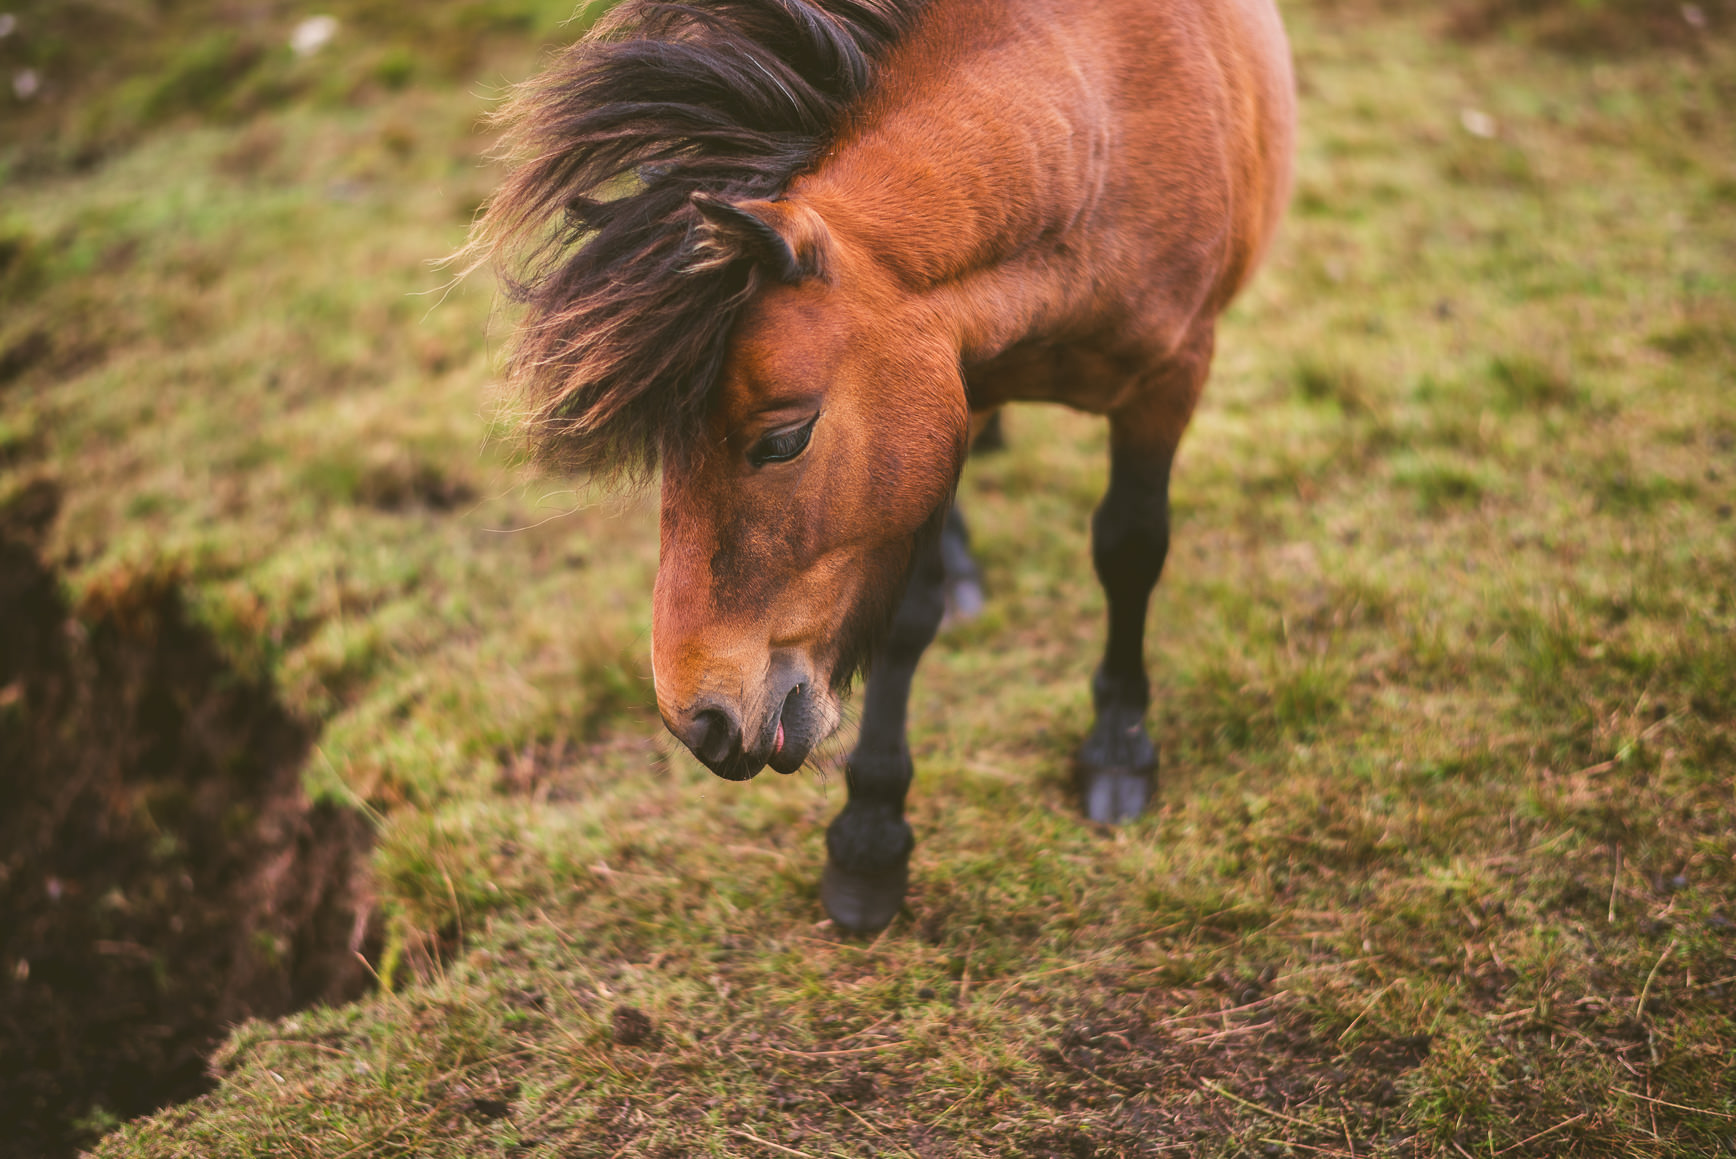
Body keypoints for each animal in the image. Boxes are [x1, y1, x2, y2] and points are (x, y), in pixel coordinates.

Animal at [468, 0, 1298, 929]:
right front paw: (869, 833)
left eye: (784, 438)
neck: (1099, 132)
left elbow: (1130, 549)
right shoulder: (951, 392)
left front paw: (1118, 747)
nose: (701, 719)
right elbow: (908, 613)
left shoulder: (1170, 379)